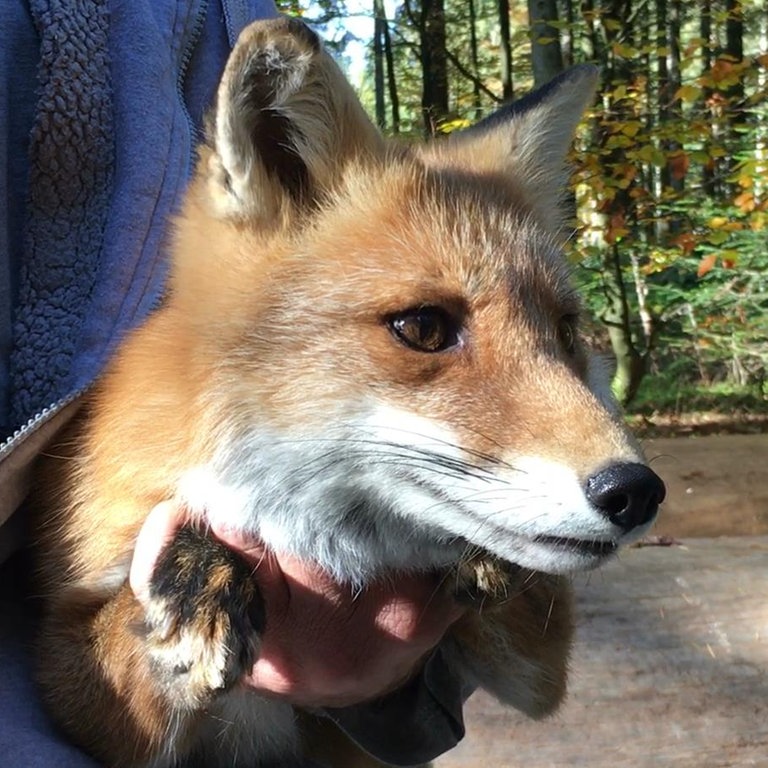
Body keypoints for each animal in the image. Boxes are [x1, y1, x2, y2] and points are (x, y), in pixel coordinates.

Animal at [33, 16, 664, 768]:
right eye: (423, 327)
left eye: (567, 332)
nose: (636, 492)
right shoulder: (68, 671)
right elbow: (121, 625)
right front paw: (196, 568)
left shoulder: (537, 668)